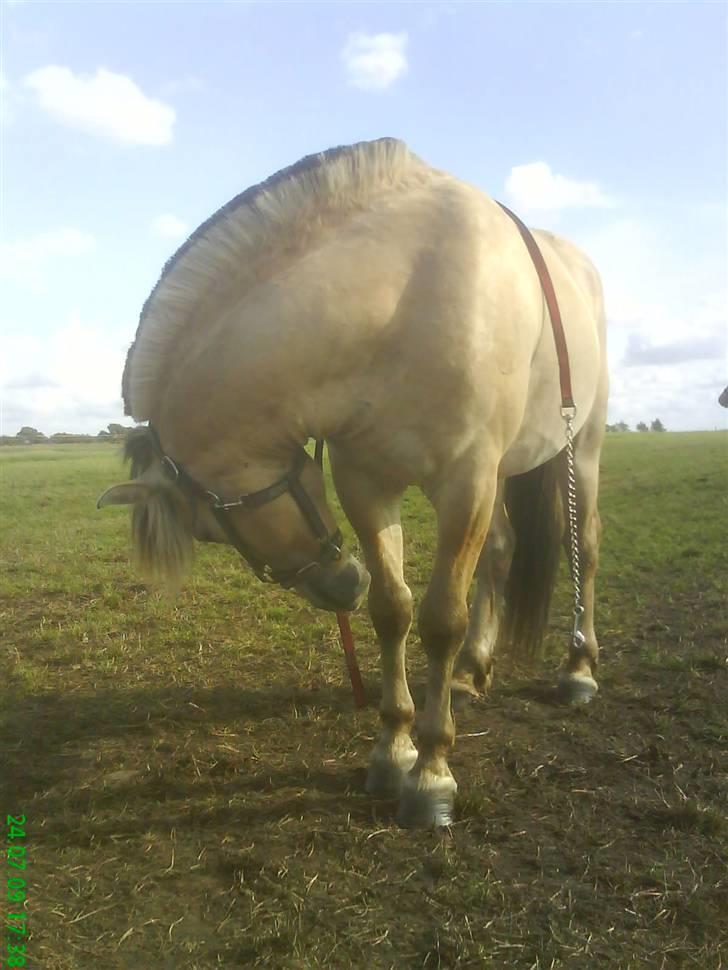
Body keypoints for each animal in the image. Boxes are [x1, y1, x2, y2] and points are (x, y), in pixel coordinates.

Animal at [98, 140, 608, 828]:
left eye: (211, 523)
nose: (340, 584)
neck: (397, 304)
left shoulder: (465, 481)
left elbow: (440, 619)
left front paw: (432, 773)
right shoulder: (368, 483)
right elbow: (393, 610)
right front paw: (393, 750)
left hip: (583, 446)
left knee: (586, 547)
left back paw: (578, 670)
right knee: (502, 549)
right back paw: (472, 670)